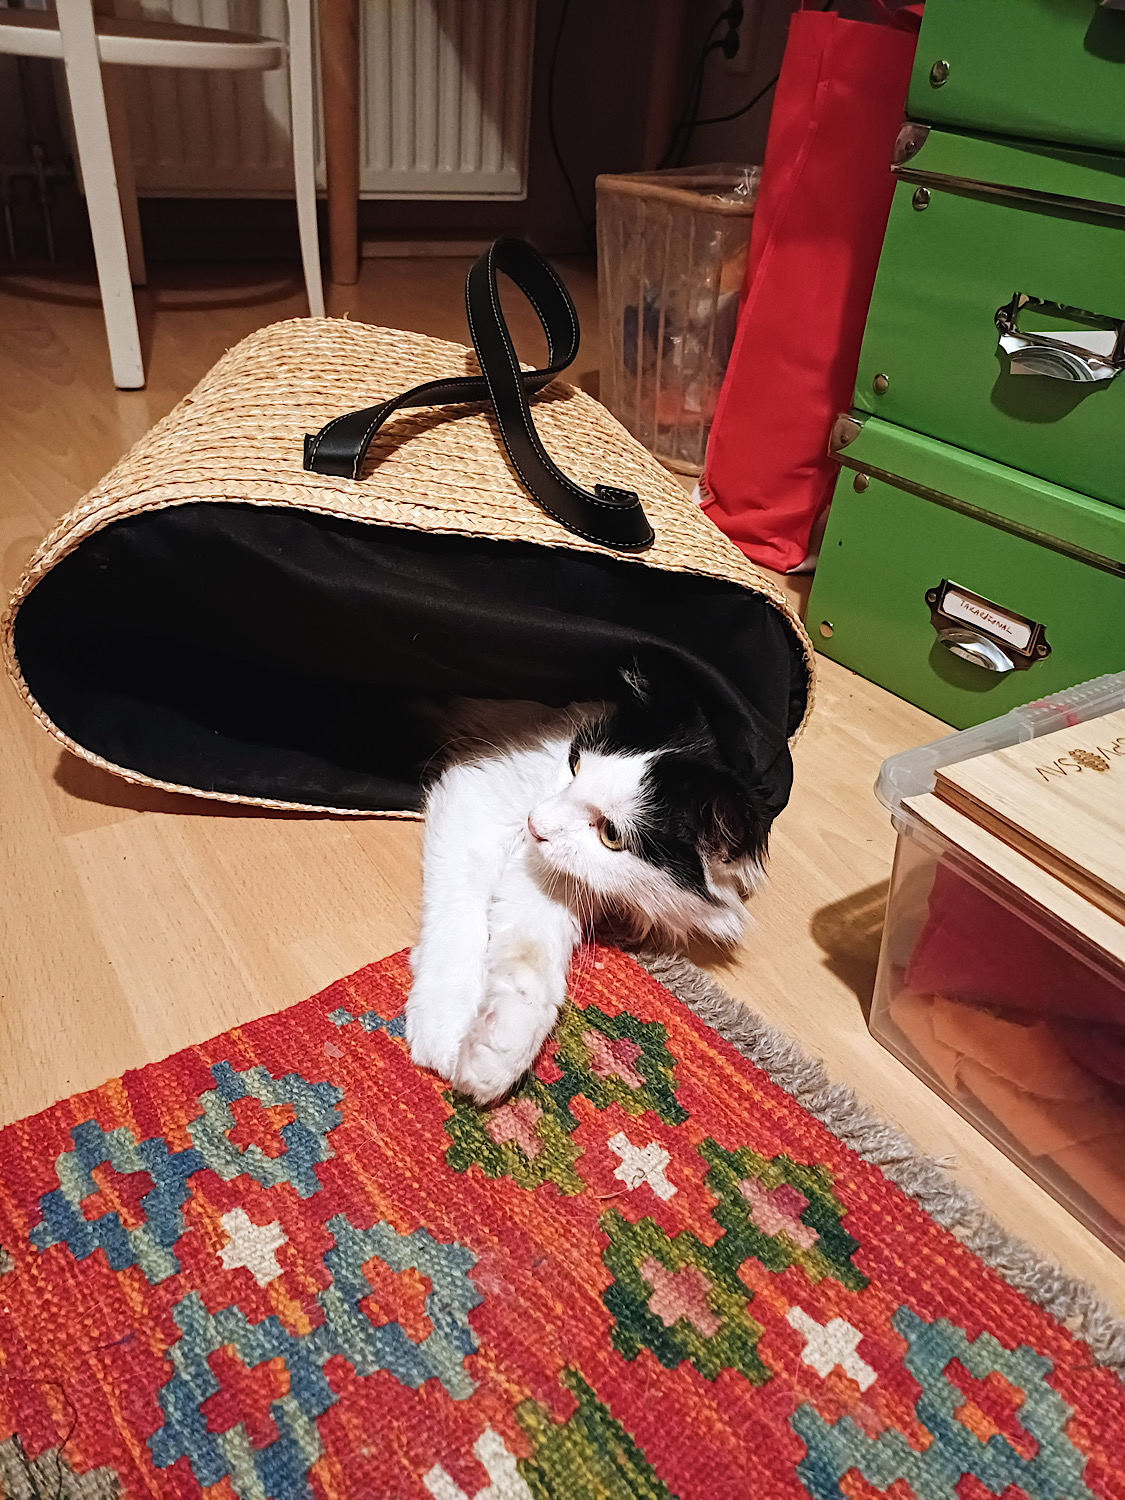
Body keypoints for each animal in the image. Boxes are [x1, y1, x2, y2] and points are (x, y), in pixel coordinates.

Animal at [404, 660, 772, 1103]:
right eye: (575, 764)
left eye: (611, 834)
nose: (535, 824)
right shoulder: (481, 795)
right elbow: (460, 922)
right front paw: (447, 1025)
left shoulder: (555, 876)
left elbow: (531, 958)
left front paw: (496, 1049)